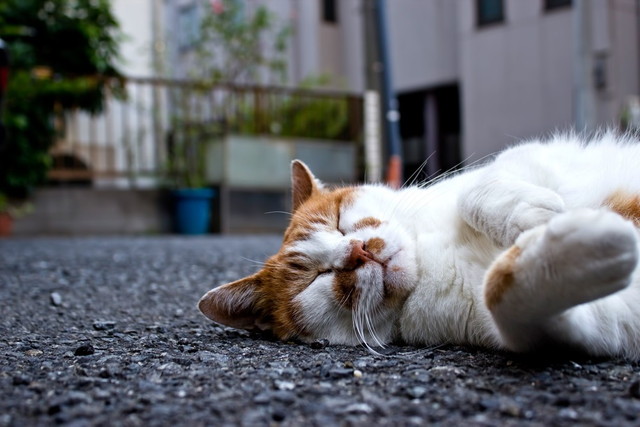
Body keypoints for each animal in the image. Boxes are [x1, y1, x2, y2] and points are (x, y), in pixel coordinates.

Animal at [198, 133, 640, 358]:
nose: (357, 251)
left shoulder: (533, 156)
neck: (427, 259)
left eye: (339, 222)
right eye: (316, 277)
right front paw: (595, 239)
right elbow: (505, 291)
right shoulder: (601, 323)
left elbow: (477, 191)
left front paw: (538, 216)